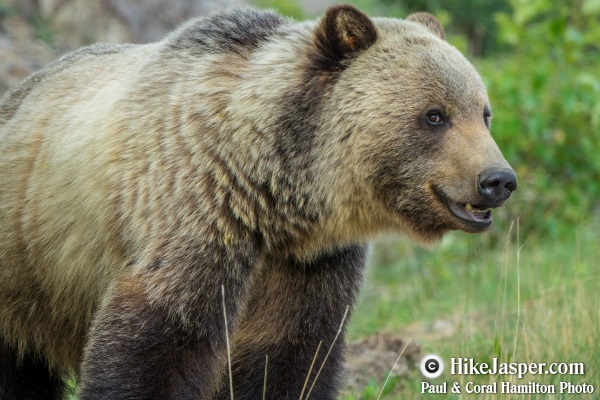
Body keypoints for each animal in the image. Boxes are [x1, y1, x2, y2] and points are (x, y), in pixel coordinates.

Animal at [0, 3, 516, 400]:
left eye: (483, 113)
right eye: (435, 116)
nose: (498, 180)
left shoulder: (310, 265)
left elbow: (290, 356)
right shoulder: (195, 212)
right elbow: (157, 342)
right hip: (26, 266)